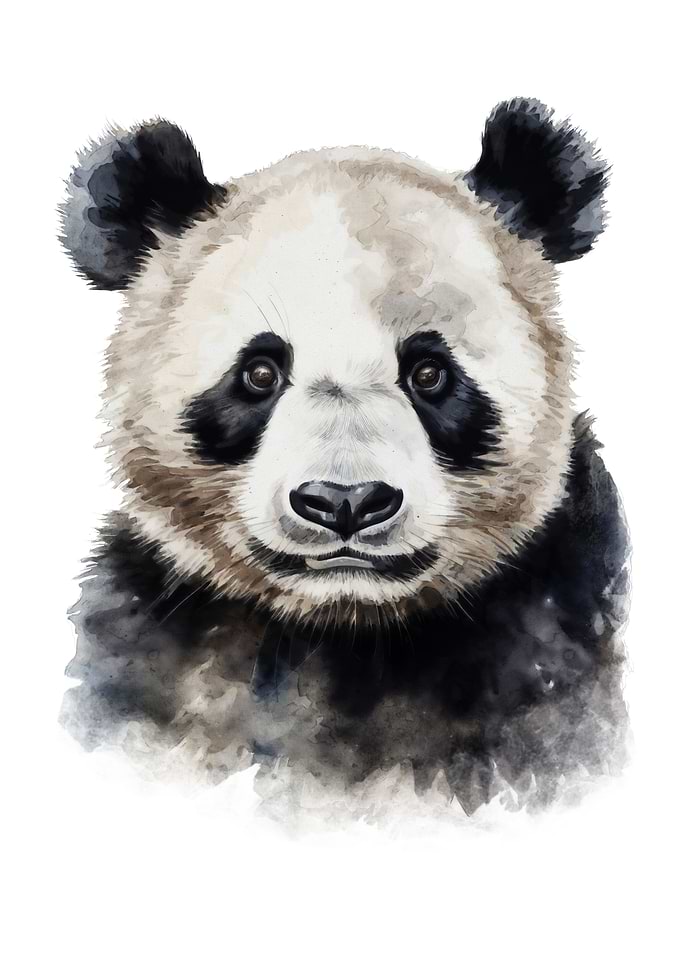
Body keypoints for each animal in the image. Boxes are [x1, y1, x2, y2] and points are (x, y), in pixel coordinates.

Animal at [60, 99, 630, 817]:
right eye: (259, 373)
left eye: (429, 373)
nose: (345, 502)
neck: (343, 631)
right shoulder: (154, 636)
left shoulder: (551, 632)